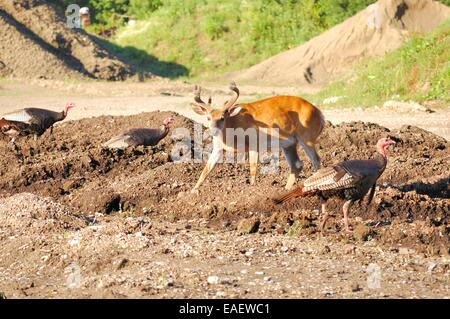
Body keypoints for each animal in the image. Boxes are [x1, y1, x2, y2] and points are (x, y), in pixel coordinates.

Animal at [190, 81, 324, 194]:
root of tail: (320, 114)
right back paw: (286, 190)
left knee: (316, 160)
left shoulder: (254, 143)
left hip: (307, 136)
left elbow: (253, 169)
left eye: (223, 118)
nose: (213, 131)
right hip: (289, 143)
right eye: (208, 118)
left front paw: (252, 189)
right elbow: (206, 169)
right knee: (296, 165)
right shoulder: (218, 148)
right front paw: (193, 190)